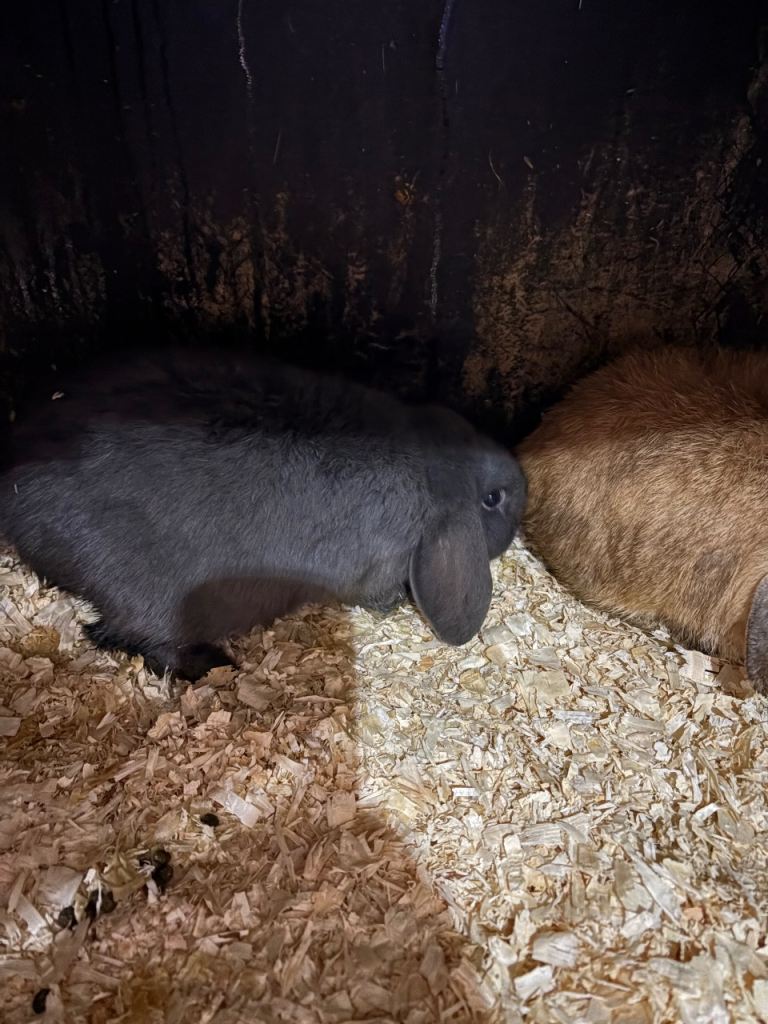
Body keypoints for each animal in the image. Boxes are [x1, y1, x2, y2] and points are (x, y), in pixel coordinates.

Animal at [0, 345, 526, 680]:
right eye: (493, 499)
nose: (522, 481)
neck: (432, 464)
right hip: (154, 605)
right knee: (137, 641)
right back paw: (215, 667)